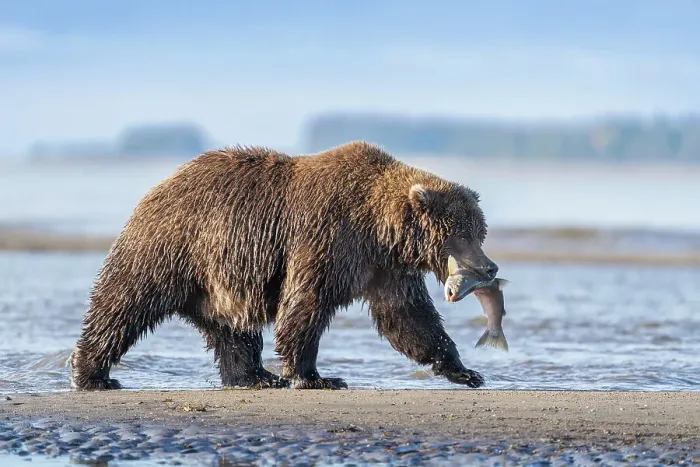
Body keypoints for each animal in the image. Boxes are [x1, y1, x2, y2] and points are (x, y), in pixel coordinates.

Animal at [70, 141, 499, 391]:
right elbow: (307, 303)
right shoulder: (328, 236)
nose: (490, 268)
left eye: (480, 231)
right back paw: (92, 374)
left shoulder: (385, 268)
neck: (379, 229)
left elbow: (409, 318)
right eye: (462, 234)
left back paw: (255, 376)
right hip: (172, 248)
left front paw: (465, 370)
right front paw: (315, 375)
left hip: (219, 283)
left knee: (234, 331)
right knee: (124, 302)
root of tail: (158, 187)